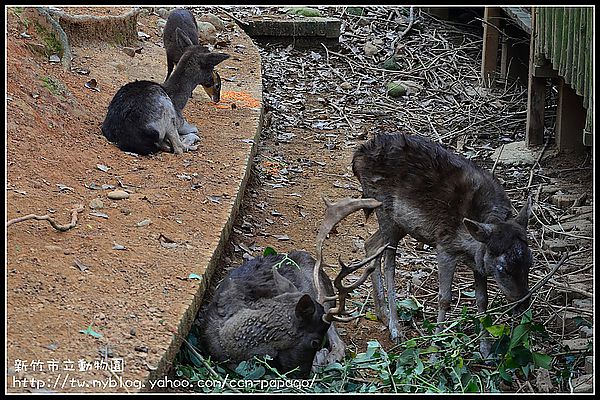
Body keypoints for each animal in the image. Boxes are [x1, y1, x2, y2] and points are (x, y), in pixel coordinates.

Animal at [342, 134, 536, 356]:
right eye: (503, 269)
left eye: (530, 262)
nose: (523, 304)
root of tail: (357, 158)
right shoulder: (444, 245)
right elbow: (444, 299)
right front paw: (435, 350)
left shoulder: (478, 261)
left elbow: (482, 300)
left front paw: (486, 351)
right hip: (385, 213)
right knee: (389, 264)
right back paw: (395, 327)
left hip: (400, 225)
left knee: (370, 244)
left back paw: (382, 312)